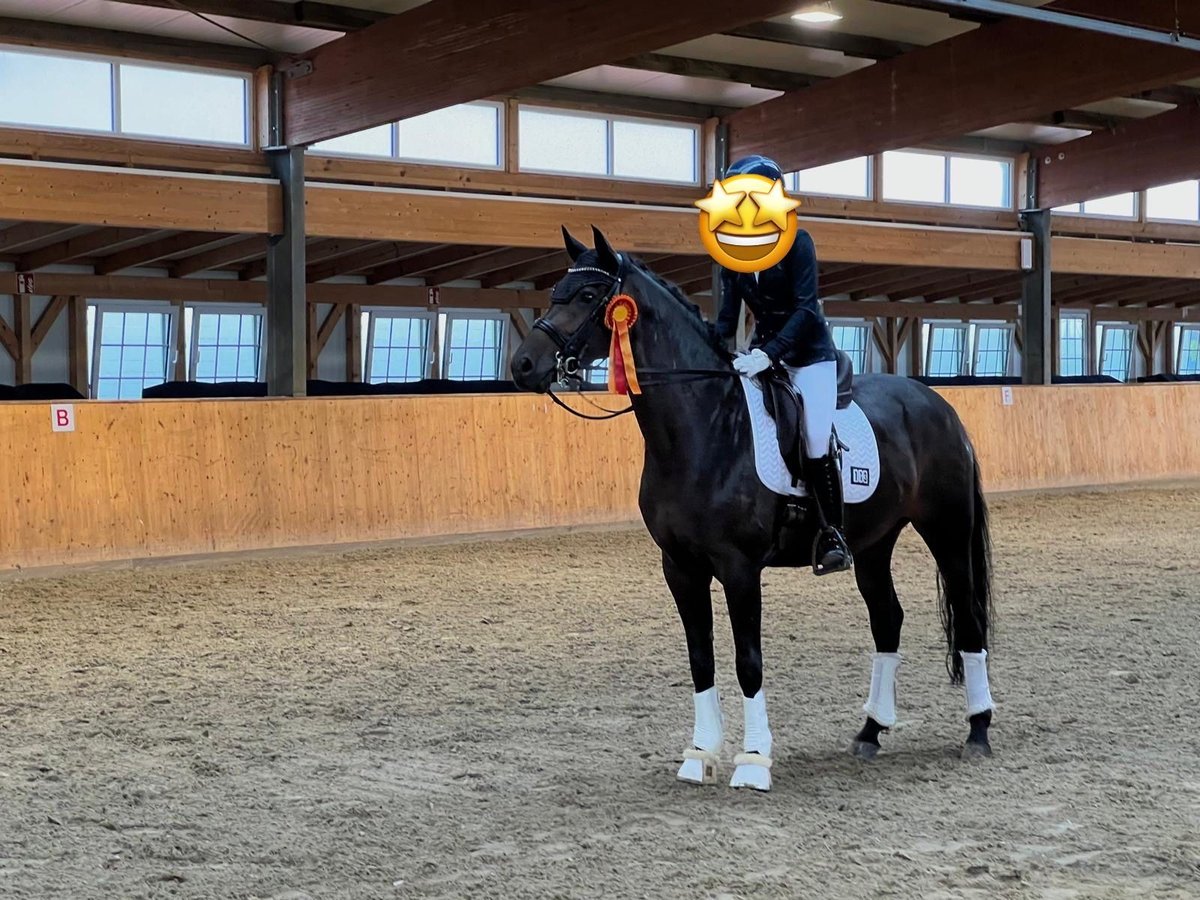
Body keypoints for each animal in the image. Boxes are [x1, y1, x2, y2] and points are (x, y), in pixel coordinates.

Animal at [509, 226, 996, 792]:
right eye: (554, 294)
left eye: (589, 296)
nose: (523, 365)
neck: (706, 428)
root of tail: (939, 406)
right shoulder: (680, 568)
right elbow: (701, 659)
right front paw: (699, 754)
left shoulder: (740, 569)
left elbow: (748, 661)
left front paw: (754, 760)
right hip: (874, 543)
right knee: (887, 620)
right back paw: (870, 732)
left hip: (947, 529)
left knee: (968, 617)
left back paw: (978, 731)